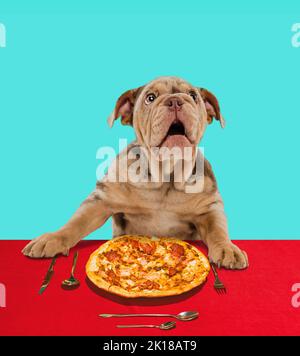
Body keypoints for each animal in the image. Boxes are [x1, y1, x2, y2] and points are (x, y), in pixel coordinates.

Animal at [22, 76, 248, 268]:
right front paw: (53, 238)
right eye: (150, 98)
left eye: (193, 96)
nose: (175, 101)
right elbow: (76, 223)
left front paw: (227, 248)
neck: (166, 176)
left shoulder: (209, 208)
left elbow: (218, 230)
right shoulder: (101, 200)